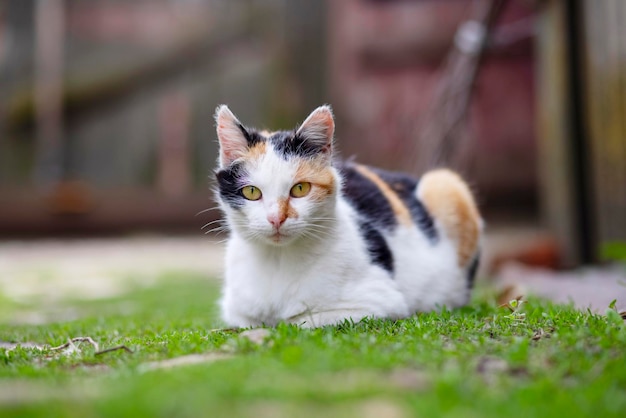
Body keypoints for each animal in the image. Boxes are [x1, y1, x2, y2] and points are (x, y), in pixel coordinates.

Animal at [212, 103, 480, 326]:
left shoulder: (375, 302)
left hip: (445, 183)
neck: (277, 260)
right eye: (251, 191)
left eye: (300, 189)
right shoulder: (236, 312)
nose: (276, 218)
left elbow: (298, 320)